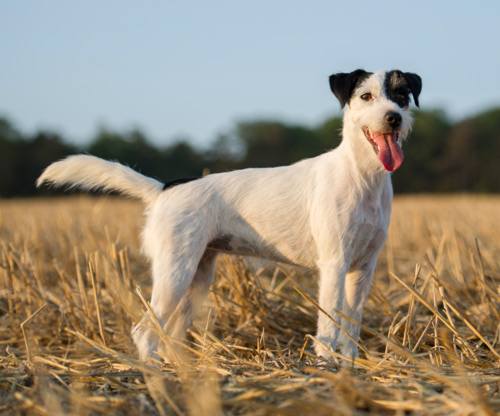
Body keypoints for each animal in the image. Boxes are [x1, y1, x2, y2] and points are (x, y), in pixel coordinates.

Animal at [38, 70, 422, 362]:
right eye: (366, 96)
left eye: (402, 95)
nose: (394, 118)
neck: (362, 176)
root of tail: (164, 188)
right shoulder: (334, 263)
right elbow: (329, 325)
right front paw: (327, 366)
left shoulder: (363, 268)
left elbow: (351, 325)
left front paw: (350, 364)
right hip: (174, 273)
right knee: (145, 331)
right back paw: (155, 374)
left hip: (197, 278)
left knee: (171, 334)